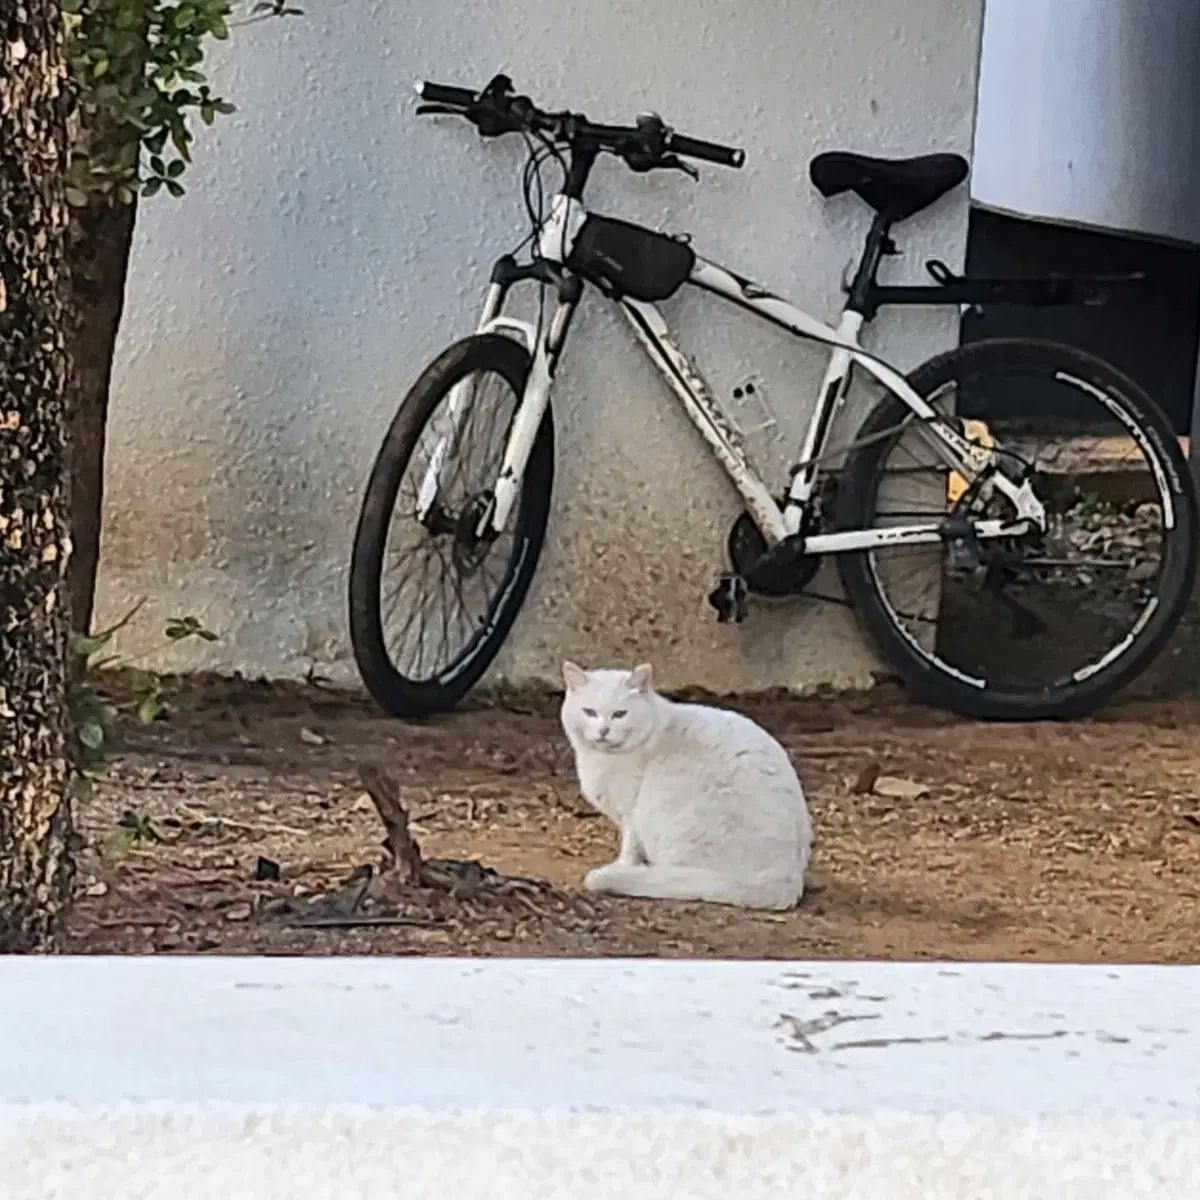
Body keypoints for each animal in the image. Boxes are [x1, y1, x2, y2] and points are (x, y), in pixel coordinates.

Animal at [556, 667, 811, 907]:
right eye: (589, 712)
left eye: (620, 714)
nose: (603, 731)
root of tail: (787, 878)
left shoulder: (631, 813)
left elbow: (629, 847)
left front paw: (624, 865)